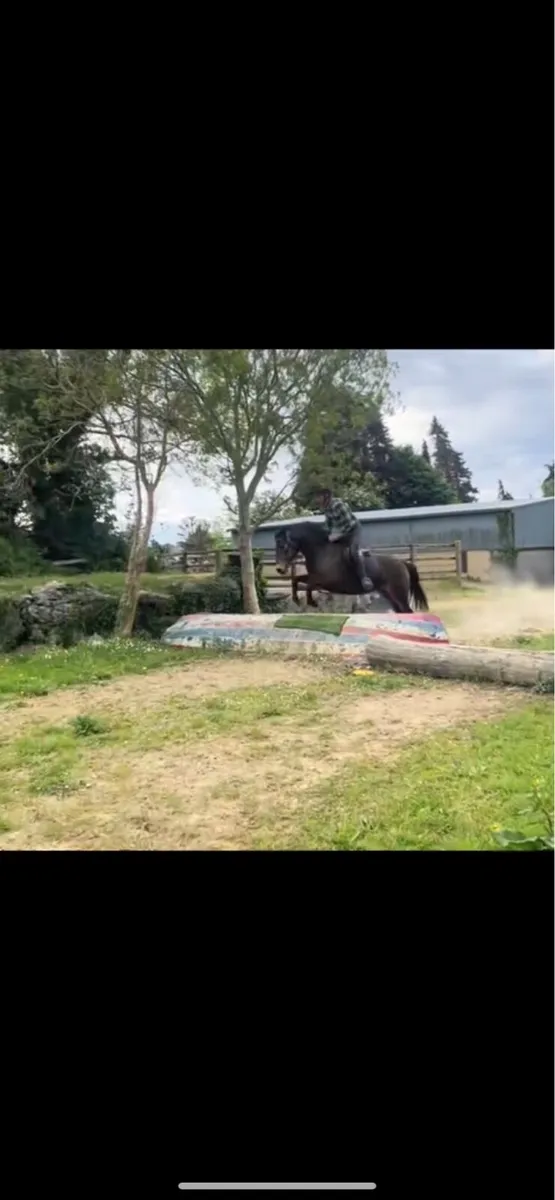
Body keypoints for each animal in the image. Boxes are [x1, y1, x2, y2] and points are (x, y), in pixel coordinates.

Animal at [274, 521, 429, 614]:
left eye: (283, 546)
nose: (280, 569)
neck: (321, 551)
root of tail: (403, 563)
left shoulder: (325, 581)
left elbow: (308, 586)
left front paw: (312, 602)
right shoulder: (313, 577)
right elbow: (296, 580)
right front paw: (296, 599)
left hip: (399, 595)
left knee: (408, 611)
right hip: (390, 595)